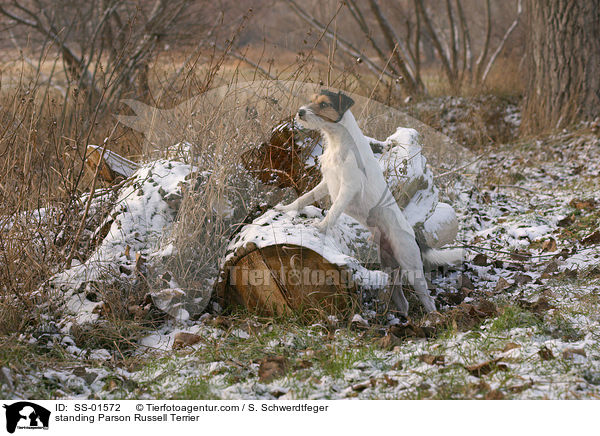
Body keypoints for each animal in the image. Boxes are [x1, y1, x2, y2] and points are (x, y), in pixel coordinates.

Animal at [274, 89, 462, 314]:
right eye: (312, 100)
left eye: (324, 104)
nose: (300, 112)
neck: (338, 141)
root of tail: (413, 234)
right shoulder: (326, 183)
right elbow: (305, 197)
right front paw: (286, 208)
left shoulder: (349, 187)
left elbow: (334, 210)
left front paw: (320, 226)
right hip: (390, 267)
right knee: (402, 301)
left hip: (411, 267)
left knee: (428, 300)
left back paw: (433, 317)